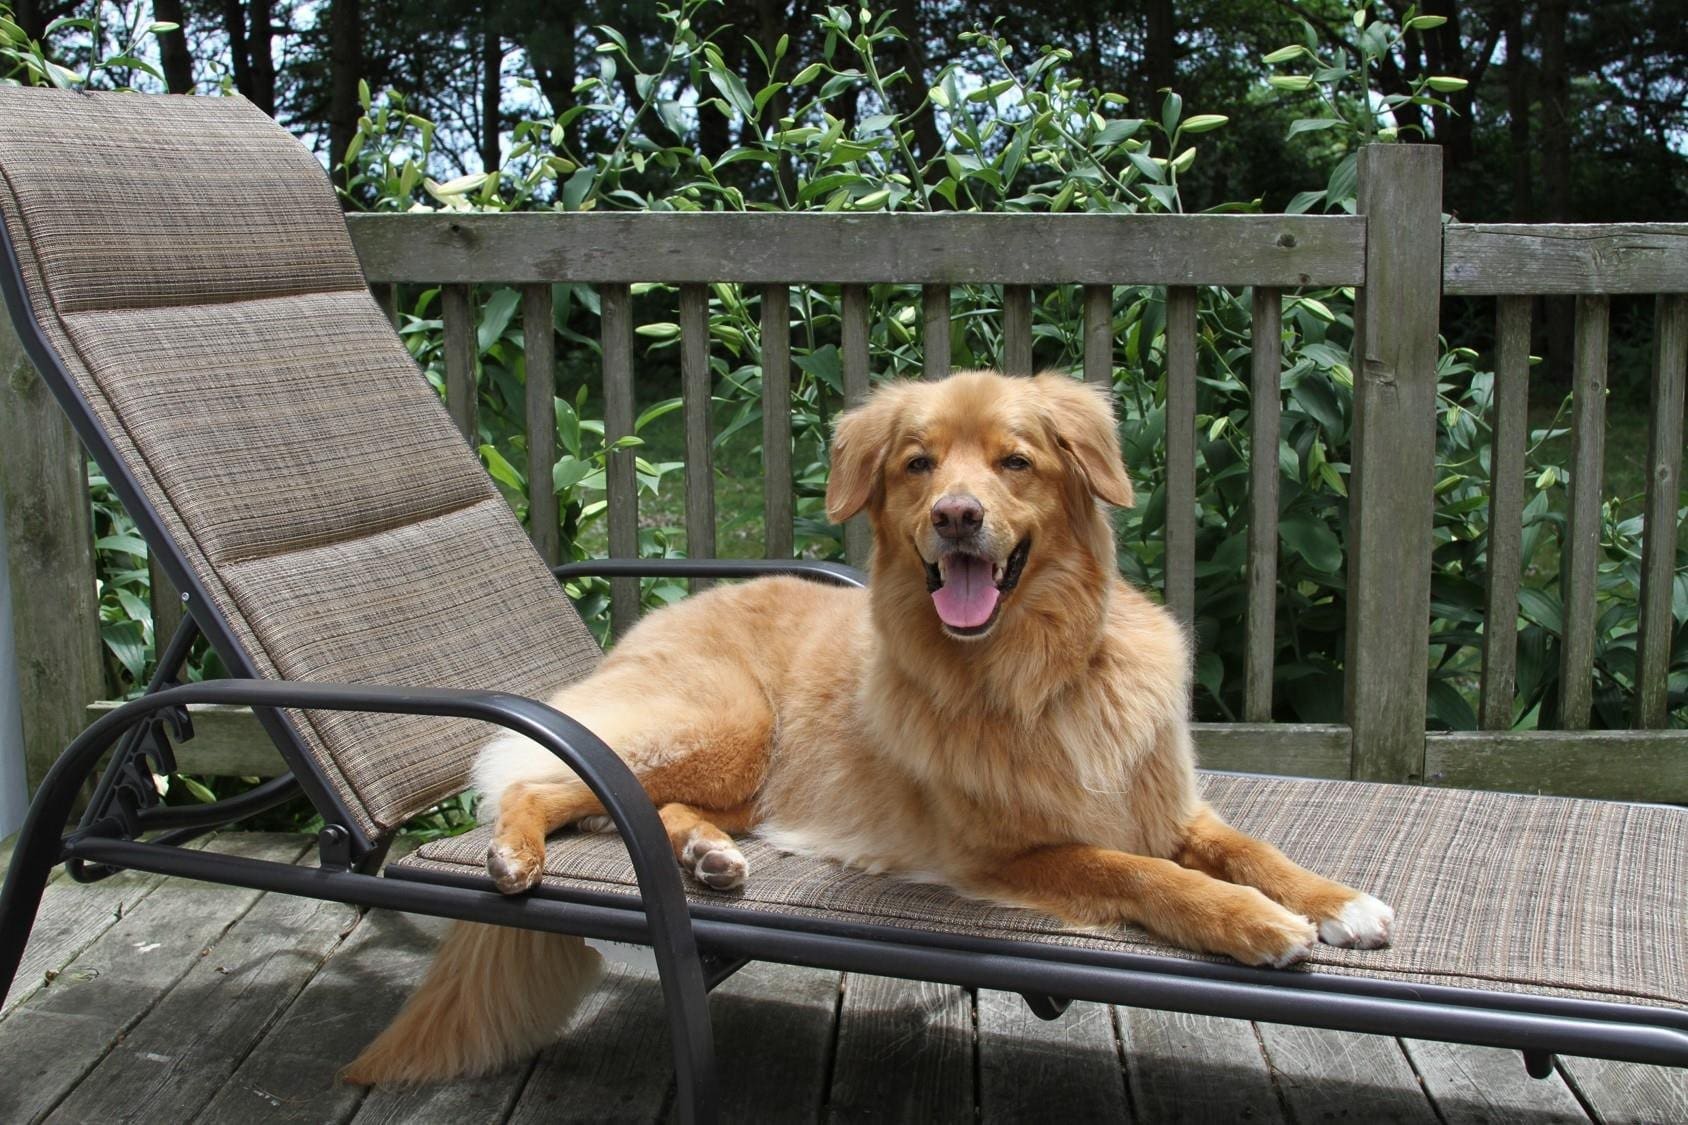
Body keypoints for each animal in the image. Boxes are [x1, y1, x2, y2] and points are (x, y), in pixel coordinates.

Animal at [346, 368, 1397, 1081]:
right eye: (918, 463)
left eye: (1016, 460)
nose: (957, 514)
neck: (1036, 674)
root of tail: (650, 620)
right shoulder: (1004, 854)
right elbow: (1141, 872)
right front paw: (1255, 922)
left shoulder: (1167, 805)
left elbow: (1247, 846)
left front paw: (1336, 900)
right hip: (727, 721)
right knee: (540, 781)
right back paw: (516, 851)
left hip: (739, 768)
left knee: (641, 805)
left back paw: (709, 857)